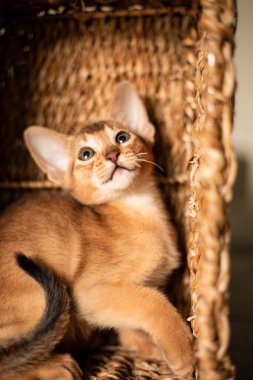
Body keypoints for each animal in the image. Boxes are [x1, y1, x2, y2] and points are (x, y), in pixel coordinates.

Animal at [0, 81, 195, 378]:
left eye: (122, 137)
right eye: (86, 154)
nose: (113, 154)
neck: (139, 208)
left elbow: (130, 320)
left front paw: (145, 346)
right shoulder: (89, 292)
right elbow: (152, 301)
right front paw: (183, 350)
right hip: (38, 300)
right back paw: (57, 366)